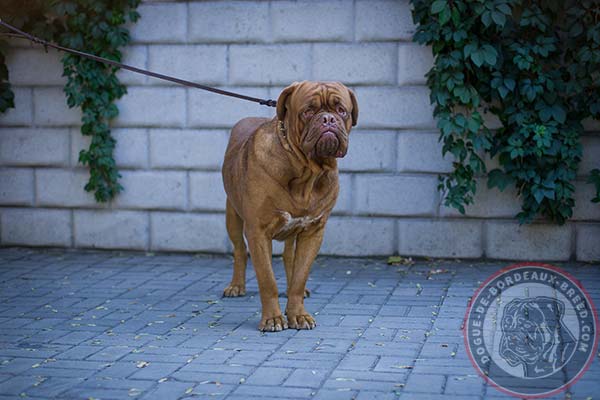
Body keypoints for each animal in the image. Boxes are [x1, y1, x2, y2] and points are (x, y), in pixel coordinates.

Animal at [223, 80, 358, 332]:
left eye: (341, 110)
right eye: (308, 111)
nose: (328, 119)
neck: (306, 172)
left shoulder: (313, 231)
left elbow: (299, 275)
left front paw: (298, 313)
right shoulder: (258, 231)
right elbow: (267, 280)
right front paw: (273, 318)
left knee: (289, 257)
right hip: (232, 216)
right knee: (239, 250)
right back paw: (236, 286)